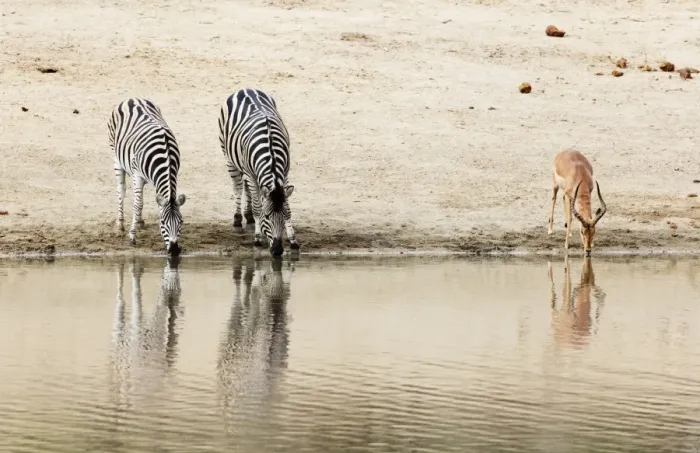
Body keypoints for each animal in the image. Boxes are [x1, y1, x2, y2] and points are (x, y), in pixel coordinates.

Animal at [109, 98, 187, 256]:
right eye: (163, 223)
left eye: (181, 222)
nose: (174, 250)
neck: (166, 155)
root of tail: (133, 98)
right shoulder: (137, 175)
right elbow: (137, 204)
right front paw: (132, 236)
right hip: (117, 158)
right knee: (121, 190)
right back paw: (120, 224)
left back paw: (139, 221)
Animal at [218, 88, 300, 257]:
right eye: (267, 217)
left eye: (283, 217)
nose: (277, 251)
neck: (271, 153)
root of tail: (245, 89)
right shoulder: (251, 174)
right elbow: (257, 208)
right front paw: (257, 239)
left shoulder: (285, 174)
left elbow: (287, 207)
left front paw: (293, 240)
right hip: (230, 159)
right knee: (238, 188)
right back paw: (238, 220)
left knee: (247, 188)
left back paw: (248, 218)